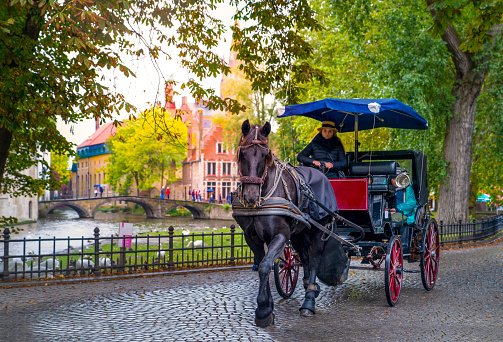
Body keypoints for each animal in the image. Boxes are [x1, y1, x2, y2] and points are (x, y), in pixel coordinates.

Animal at [233, 120, 348, 326]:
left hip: (318, 231)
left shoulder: (280, 235)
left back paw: (309, 302)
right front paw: (268, 306)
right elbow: (264, 264)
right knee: (304, 257)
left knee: (315, 260)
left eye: (266, 155)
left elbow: (265, 265)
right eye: (242, 153)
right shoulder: (251, 237)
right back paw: (309, 287)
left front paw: (263, 310)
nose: (250, 196)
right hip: (299, 233)